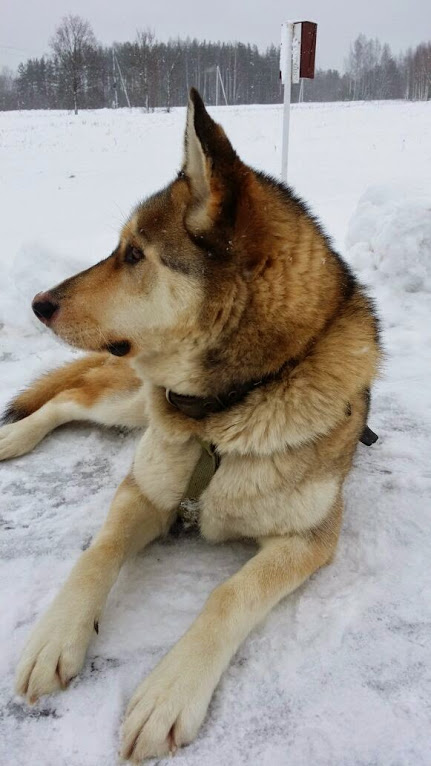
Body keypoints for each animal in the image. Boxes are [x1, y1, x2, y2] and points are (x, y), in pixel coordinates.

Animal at [1, 89, 381, 761]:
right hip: (129, 402)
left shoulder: (309, 537)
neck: (225, 412)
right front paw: (55, 637)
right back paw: (10, 437)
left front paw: (168, 692)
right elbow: (98, 553)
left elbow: (230, 593)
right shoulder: (145, 489)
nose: (39, 303)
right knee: (68, 398)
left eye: (134, 255)